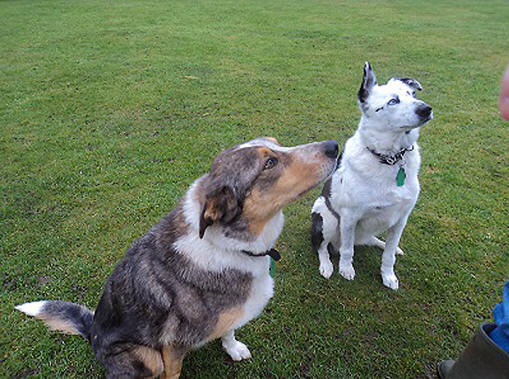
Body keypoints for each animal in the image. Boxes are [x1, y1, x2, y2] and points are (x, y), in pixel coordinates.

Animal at [16, 138, 338, 379]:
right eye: (269, 163)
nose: (334, 146)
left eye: (278, 144)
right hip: (146, 356)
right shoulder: (171, 347)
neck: (231, 245)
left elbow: (229, 330)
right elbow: (174, 372)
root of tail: (92, 329)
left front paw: (233, 348)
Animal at [310, 60, 432, 290]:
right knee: (323, 247)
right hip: (326, 216)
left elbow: (389, 255)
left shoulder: (401, 218)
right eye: (393, 101)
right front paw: (346, 269)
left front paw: (388, 276)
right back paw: (327, 265)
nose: (426, 109)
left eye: (412, 94)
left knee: (371, 241)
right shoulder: (350, 216)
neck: (390, 158)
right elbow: (347, 250)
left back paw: (381, 243)